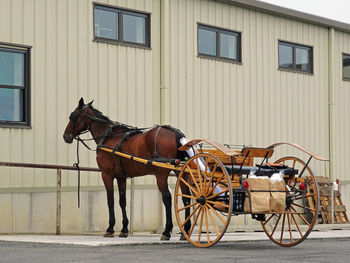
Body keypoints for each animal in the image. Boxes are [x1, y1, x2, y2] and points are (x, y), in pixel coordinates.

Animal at [61, 98, 190, 240]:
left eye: (73, 116)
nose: (65, 136)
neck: (108, 137)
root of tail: (175, 133)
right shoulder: (121, 177)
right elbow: (122, 201)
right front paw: (124, 229)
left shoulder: (106, 175)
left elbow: (110, 200)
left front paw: (110, 228)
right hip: (180, 171)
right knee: (186, 197)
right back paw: (186, 231)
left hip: (161, 173)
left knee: (167, 198)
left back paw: (167, 231)